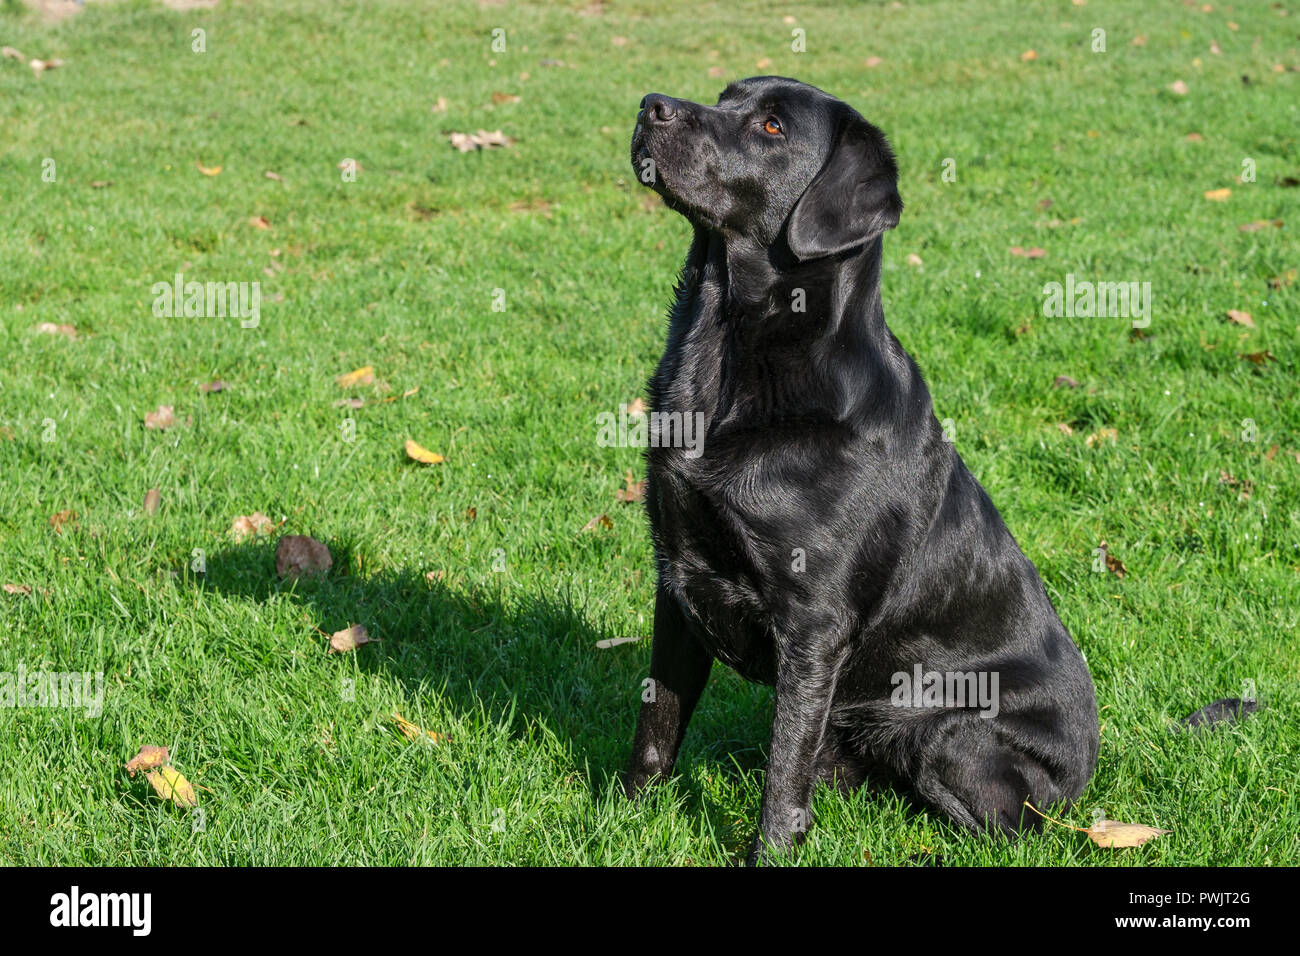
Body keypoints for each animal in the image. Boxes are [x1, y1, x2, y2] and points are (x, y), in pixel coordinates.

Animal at [624, 78, 1092, 863]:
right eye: (725, 94)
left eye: (772, 126)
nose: (651, 103)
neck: (722, 360)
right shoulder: (677, 581)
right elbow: (657, 723)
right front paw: (621, 818)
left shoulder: (813, 624)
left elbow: (782, 773)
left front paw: (769, 850)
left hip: (949, 732)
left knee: (1005, 829)